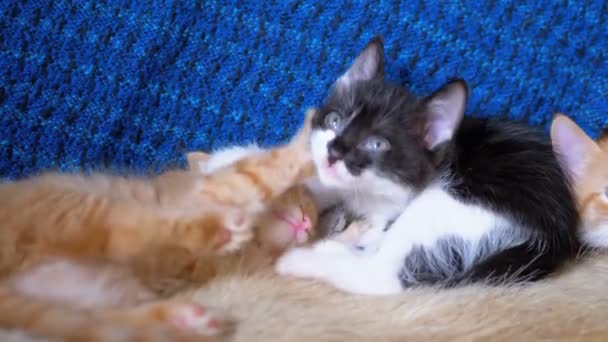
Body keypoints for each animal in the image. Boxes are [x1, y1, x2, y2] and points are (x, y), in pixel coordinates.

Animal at [0, 109, 316, 340]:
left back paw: (187, 320)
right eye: (300, 193)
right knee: (132, 229)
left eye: (313, 213)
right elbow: (252, 176)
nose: (307, 221)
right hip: (76, 209)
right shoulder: (194, 198)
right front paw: (305, 145)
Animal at [276, 36, 580, 294]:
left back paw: (305, 257)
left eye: (376, 144)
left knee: (380, 274)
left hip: (455, 204)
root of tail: (552, 243)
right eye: (335, 120)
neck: (370, 193)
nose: (334, 151)